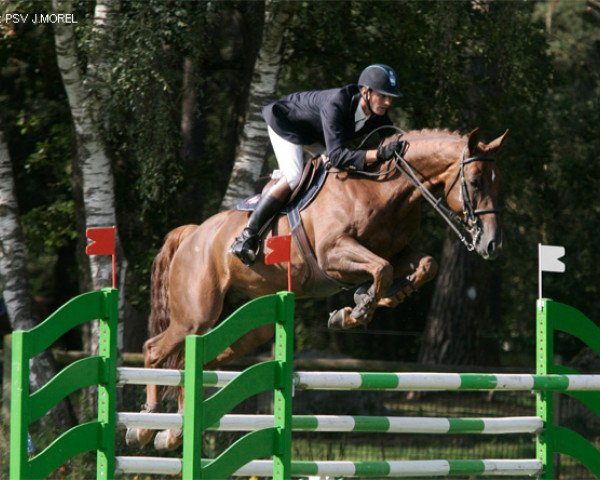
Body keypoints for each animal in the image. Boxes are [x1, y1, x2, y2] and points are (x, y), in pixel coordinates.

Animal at [125, 126, 506, 450]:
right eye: (474, 182)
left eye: (497, 183)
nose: (491, 244)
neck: (385, 189)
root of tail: (193, 234)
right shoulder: (333, 253)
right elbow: (380, 269)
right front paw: (356, 310)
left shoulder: (397, 253)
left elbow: (425, 264)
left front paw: (375, 300)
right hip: (196, 315)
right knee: (155, 350)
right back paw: (144, 427)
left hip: (250, 324)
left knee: (195, 358)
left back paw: (173, 433)